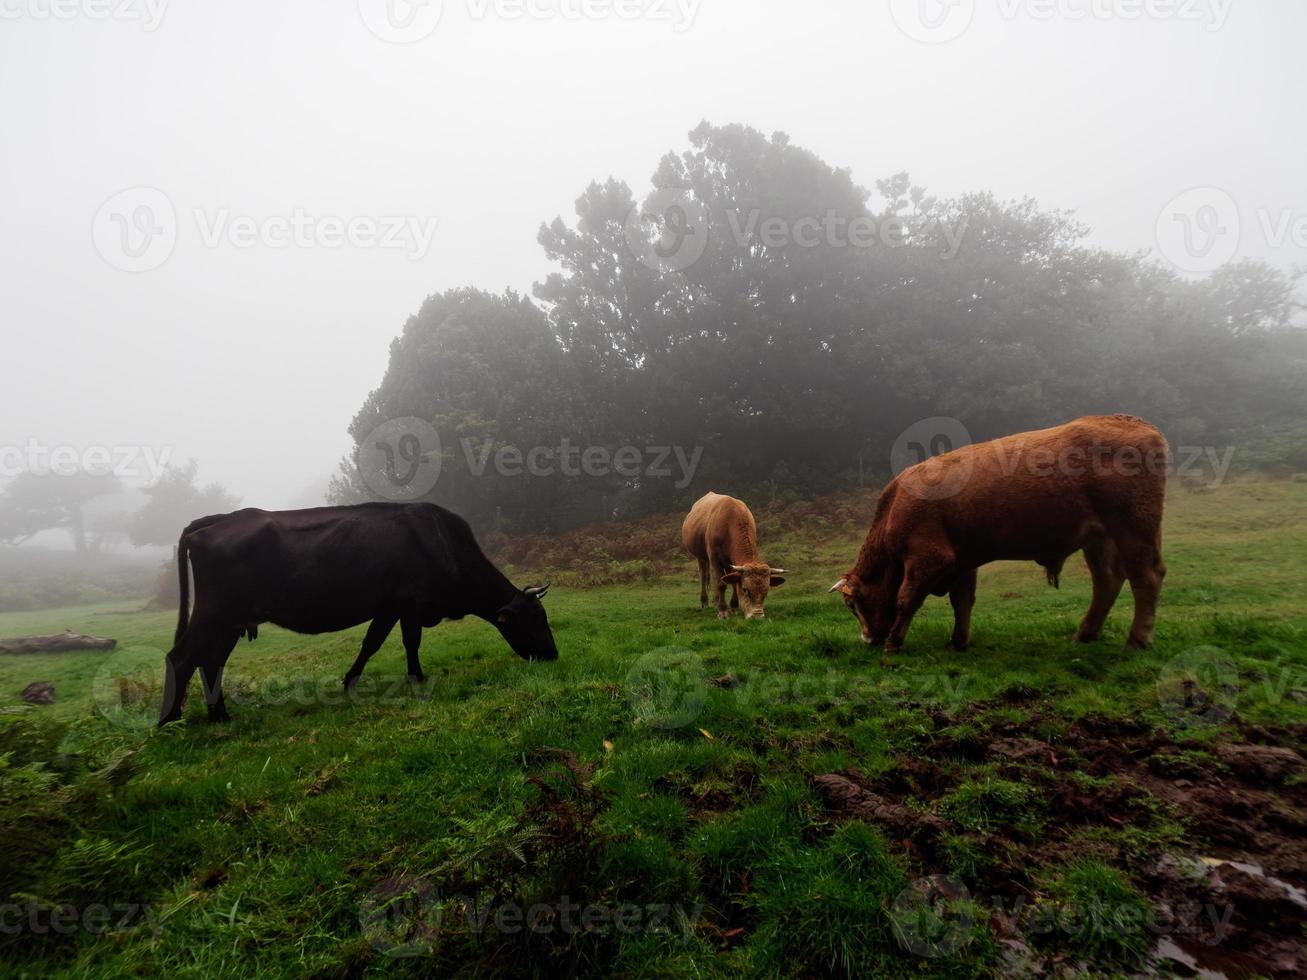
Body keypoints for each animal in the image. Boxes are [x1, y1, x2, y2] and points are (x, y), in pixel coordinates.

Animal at [158, 506, 556, 731]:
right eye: (536, 620)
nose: (554, 655)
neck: (441, 542)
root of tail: (215, 521)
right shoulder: (409, 604)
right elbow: (410, 642)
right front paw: (417, 679)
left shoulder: (388, 607)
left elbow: (371, 643)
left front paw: (349, 681)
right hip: (215, 611)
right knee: (181, 658)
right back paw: (169, 721)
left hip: (231, 620)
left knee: (210, 661)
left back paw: (220, 717)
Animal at [684, 491, 784, 621]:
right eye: (745, 589)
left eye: (766, 591)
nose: (757, 616)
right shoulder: (714, 557)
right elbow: (721, 584)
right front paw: (723, 611)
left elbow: (732, 581)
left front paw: (734, 607)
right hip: (701, 556)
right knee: (704, 576)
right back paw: (704, 602)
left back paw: (716, 601)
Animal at [831, 415, 1171, 653]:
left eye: (852, 605)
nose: (867, 639)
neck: (895, 505)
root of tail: (1138, 423)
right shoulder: (962, 562)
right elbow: (962, 601)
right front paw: (958, 642)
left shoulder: (927, 558)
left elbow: (906, 599)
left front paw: (894, 643)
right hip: (1101, 538)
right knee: (1107, 580)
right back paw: (1086, 633)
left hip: (1134, 529)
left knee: (1146, 577)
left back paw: (1137, 641)